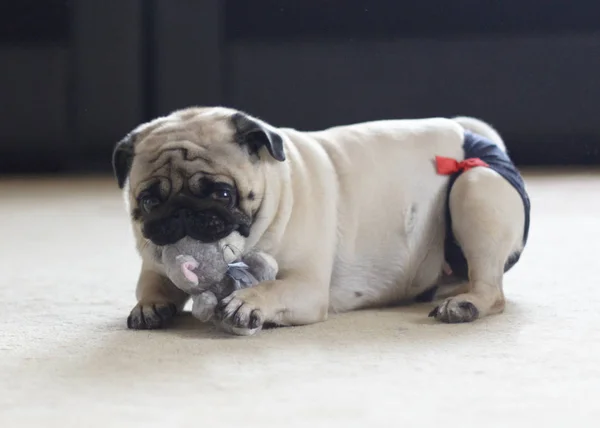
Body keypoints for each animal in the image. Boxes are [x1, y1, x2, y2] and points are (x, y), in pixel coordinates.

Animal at [111, 107, 528, 334]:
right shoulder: (153, 261)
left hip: (474, 187)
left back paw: (465, 304)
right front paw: (150, 305)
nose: (182, 212)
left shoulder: (307, 288)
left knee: (492, 290)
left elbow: (273, 288)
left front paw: (247, 301)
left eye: (222, 194)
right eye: (149, 201)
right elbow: (152, 283)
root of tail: (478, 138)